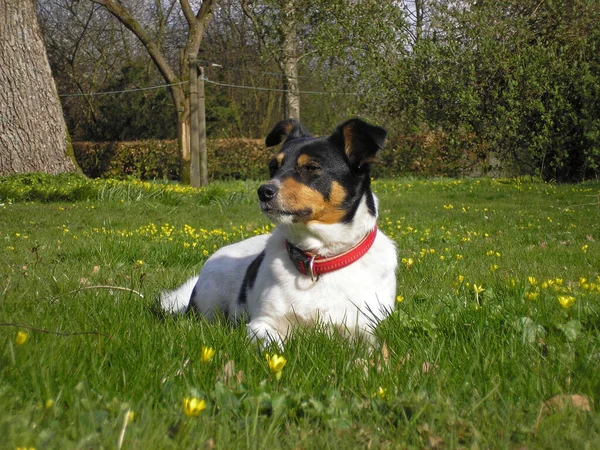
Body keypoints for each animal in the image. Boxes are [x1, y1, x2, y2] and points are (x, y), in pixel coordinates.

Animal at [161, 118, 398, 346]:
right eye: (273, 167)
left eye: (312, 167)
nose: (263, 191)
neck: (318, 259)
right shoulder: (263, 323)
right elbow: (273, 346)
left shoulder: (363, 326)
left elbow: (372, 347)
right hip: (209, 303)